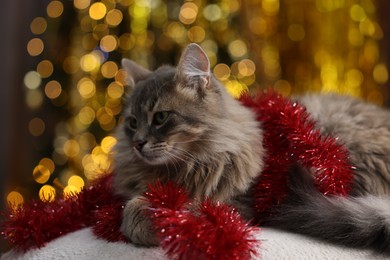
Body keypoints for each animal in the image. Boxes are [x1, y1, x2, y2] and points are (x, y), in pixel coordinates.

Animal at [111, 43, 390, 254]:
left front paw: (147, 219)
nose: (137, 143)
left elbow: (166, 210)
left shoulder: (232, 204)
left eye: (160, 117)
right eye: (132, 122)